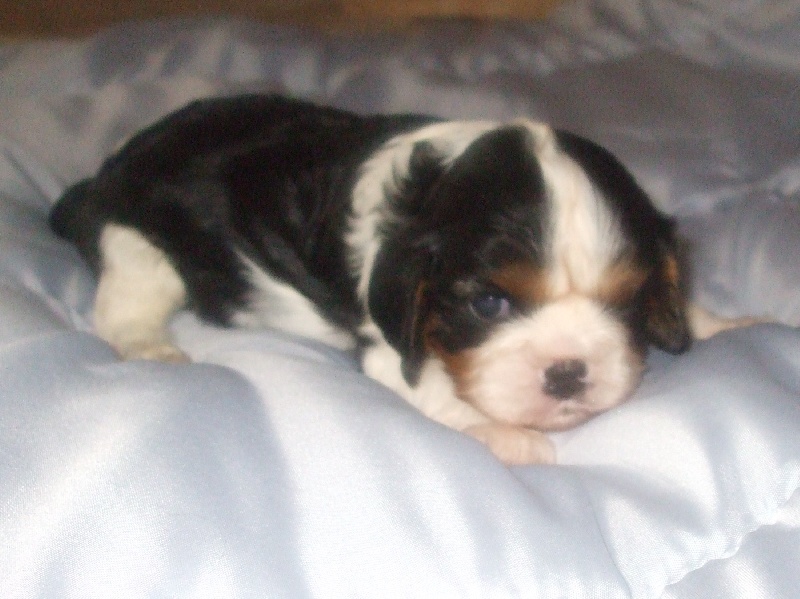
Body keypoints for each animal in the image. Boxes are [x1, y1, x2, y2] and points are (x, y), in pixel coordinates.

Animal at [49, 94, 750, 464]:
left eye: (629, 303)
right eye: (489, 304)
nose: (568, 372)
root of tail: (104, 174)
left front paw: (729, 323)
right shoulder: (390, 348)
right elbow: (437, 389)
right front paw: (512, 437)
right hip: (139, 245)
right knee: (124, 306)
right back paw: (151, 349)